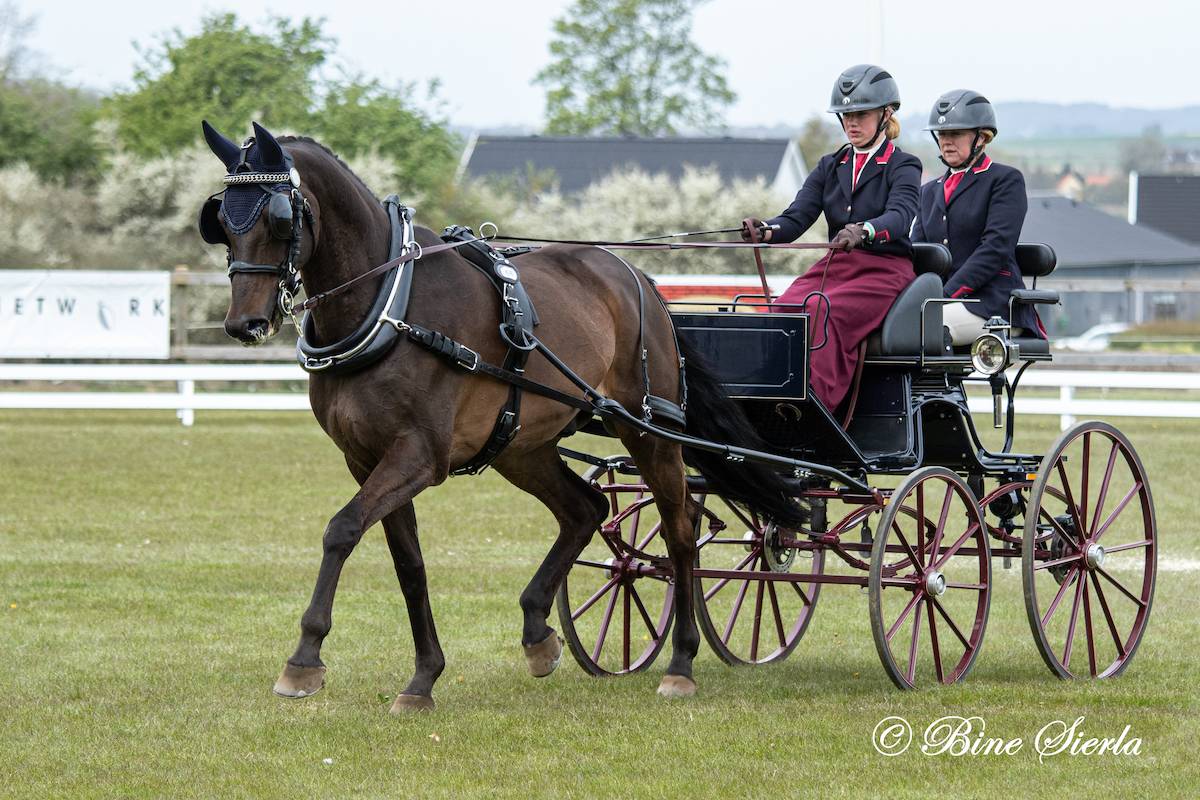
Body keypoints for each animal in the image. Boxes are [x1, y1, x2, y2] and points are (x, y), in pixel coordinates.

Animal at [199, 120, 808, 711]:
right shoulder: (366, 459)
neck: (391, 303)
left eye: (280, 217)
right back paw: (539, 631)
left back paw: (681, 663)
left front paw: (304, 659)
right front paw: (423, 677)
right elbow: (409, 565)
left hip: (647, 428)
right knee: (586, 509)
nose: (244, 324)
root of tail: (640, 280)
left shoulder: (419, 456)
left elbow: (342, 529)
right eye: (221, 221)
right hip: (522, 447)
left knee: (680, 530)